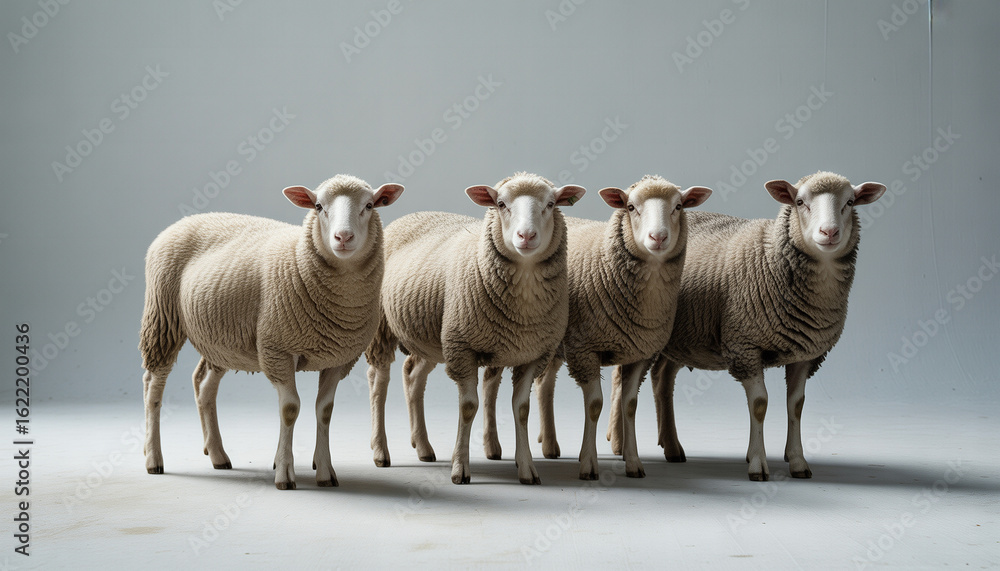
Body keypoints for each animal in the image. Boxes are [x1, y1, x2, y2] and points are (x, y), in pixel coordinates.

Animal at [139, 174, 404, 489]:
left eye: (369, 206)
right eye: (318, 206)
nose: (343, 238)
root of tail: (181, 222)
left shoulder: (338, 358)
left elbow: (324, 411)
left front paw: (325, 472)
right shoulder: (278, 349)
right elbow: (290, 409)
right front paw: (285, 474)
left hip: (221, 339)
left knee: (204, 386)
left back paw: (217, 455)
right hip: (163, 318)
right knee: (153, 386)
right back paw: (153, 459)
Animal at [365, 172, 586, 485]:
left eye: (551, 204)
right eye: (501, 204)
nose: (526, 236)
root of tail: (408, 217)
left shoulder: (532, 355)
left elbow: (522, 409)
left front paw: (527, 468)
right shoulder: (462, 348)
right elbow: (468, 406)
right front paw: (460, 469)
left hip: (431, 336)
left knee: (413, 376)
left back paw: (423, 447)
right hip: (384, 329)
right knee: (378, 382)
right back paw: (380, 451)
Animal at [481, 176, 713, 479]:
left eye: (678, 206)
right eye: (630, 207)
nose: (658, 238)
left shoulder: (640, 353)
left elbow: (630, 405)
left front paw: (633, 463)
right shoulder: (585, 349)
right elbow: (594, 405)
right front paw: (589, 464)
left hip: (556, 344)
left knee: (544, 384)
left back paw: (550, 445)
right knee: (489, 384)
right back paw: (492, 447)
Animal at [607, 171, 886, 481]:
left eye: (850, 202)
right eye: (800, 202)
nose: (829, 233)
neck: (771, 255)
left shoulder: (806, 354)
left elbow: (796, 405)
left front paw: (798, 461)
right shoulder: (745, 346)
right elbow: (760, 404)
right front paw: (757, 464)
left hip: (685, 336)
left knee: (662, 378)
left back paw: (672, 447)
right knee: (622, 380)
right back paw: (619, 445)